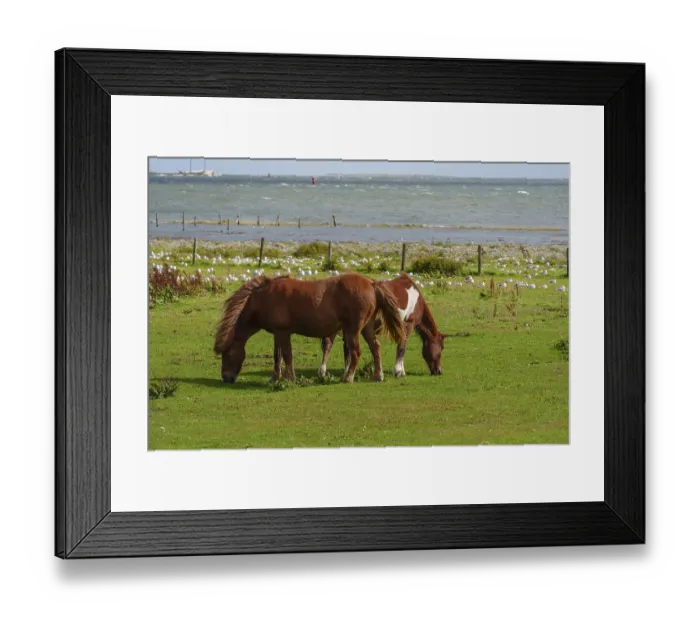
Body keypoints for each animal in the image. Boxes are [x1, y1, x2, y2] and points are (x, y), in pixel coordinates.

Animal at [213, 273, 406, 384]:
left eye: (227, 354)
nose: (226, 378)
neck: (265, 297)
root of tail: (372, 283)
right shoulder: (277, 333)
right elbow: (277, 356)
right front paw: (274, 378)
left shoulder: (283, 332)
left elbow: (287, 355)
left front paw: (290, 378)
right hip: (366, 328)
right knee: (375, 348)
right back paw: (378, 376)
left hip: (352, 330)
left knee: (356, 352)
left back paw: (348, 378)